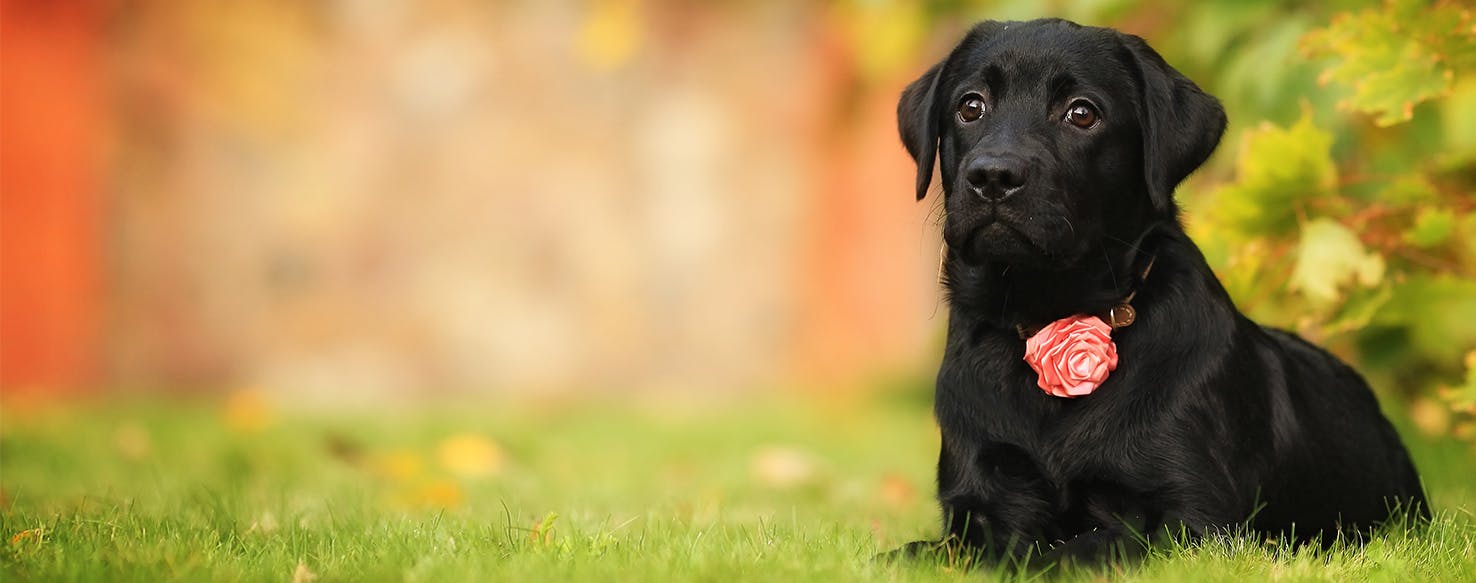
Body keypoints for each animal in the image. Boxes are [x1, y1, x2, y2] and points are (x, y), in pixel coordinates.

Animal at [891, 17, 1422, 566]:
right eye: (970, 106)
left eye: (1082, 113)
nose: (993, 175)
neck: (1047, 310)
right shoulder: (981, 498)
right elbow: (930, 549)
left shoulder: (1193, 519)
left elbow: (1074, 548)